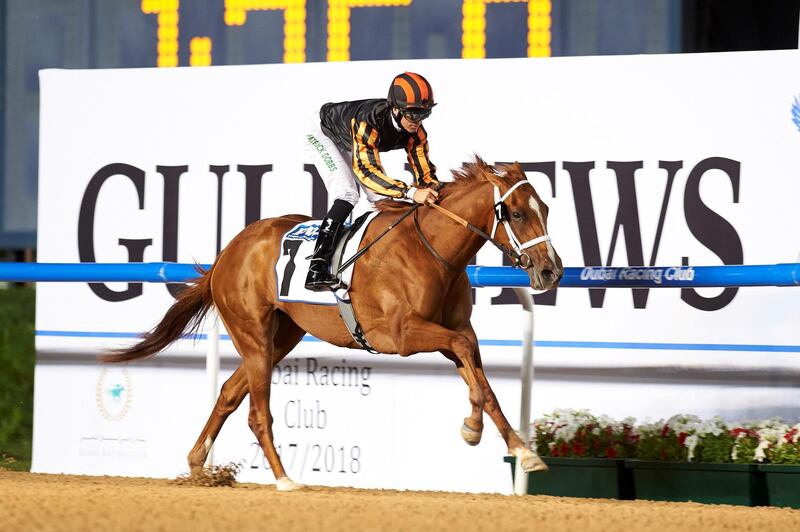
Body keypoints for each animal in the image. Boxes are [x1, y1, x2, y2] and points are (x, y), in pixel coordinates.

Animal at [103, 157, 564, 490]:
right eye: (517, 214)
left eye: (545, 209)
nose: (551, 271)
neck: (431, 250)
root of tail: (228, 251)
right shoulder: (399, 334)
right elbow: (469, 362)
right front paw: (473, 428)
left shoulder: (456, 331)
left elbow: (481, 379)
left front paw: (517, 448)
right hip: (253, 333)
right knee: (256, 412)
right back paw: (284, 479)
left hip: (282, 335)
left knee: (230, 393)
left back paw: (200, 466)